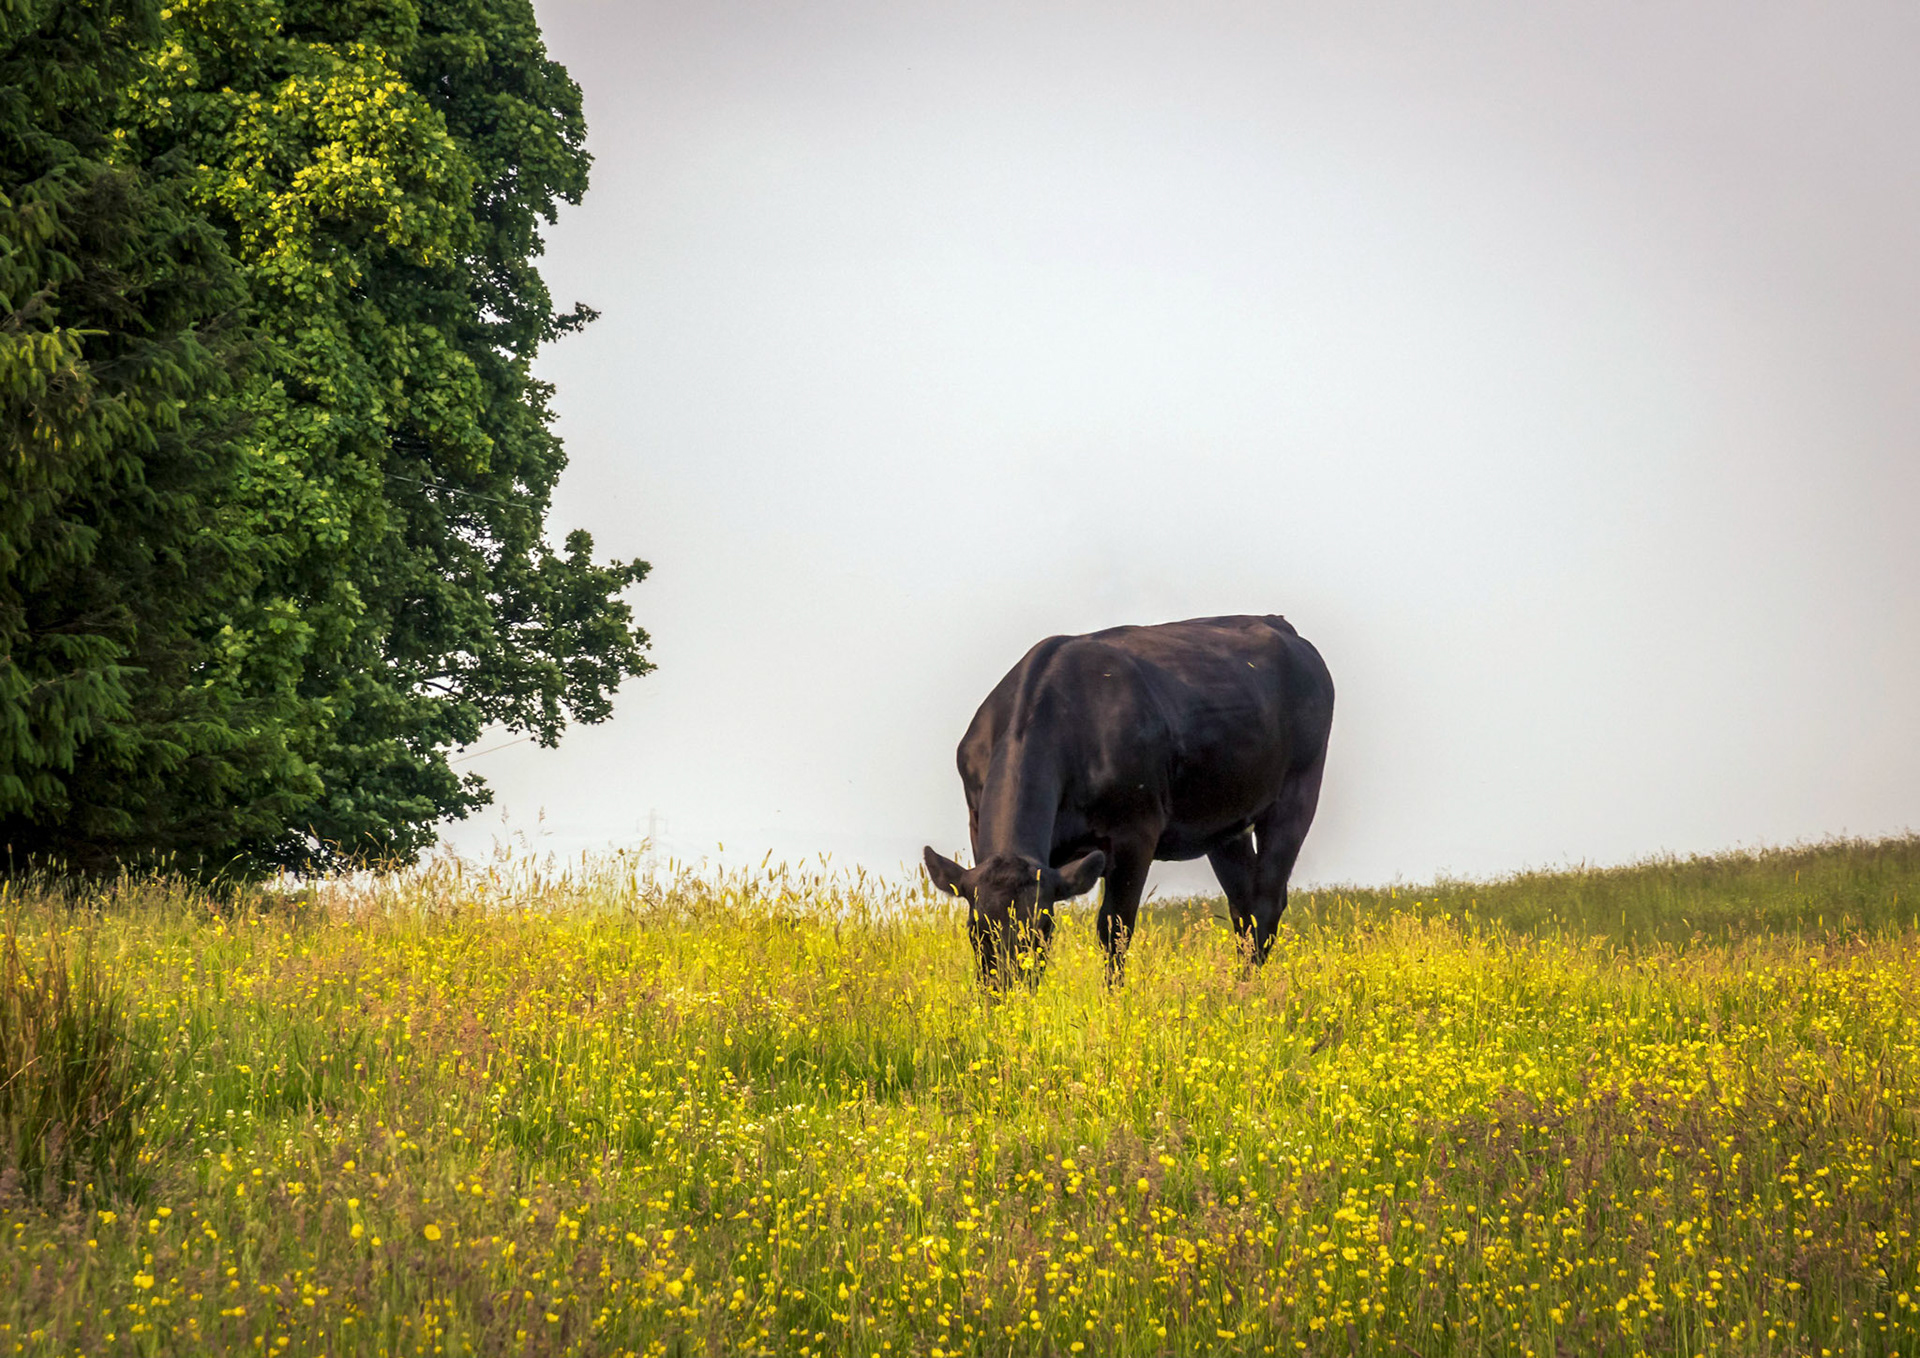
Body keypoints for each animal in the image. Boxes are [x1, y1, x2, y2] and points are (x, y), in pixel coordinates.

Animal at [923, 614, 1334, 987]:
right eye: (975, 928)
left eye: (1042, 928)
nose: (1006, 994)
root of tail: (1277, 623)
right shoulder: (977, 821)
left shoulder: (1135, 833)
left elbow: (1115, 927)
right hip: (1226, 820)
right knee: (1242, 904)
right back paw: (1241, 986)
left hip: (1297, 793)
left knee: (1266, 900)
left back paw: (1248, 993)